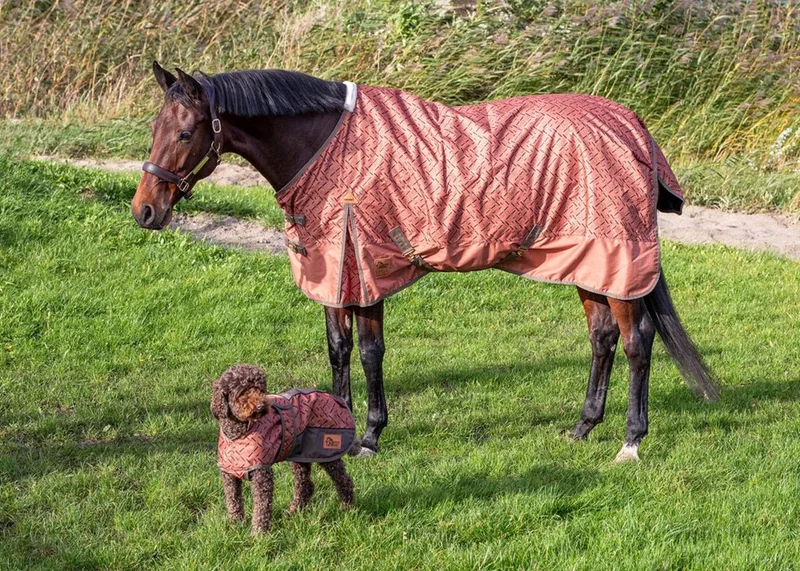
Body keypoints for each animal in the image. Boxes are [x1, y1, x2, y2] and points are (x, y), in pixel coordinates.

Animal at [132, 62, 719, 462]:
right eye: (154, 129)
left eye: (185, 132)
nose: (145, 211)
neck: (324, 146)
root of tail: (633, 127)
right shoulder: (333, 270)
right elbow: (338, 350)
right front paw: (337, 429)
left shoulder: (366, 267)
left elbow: (370, 353)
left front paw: (369, 435)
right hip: (588, 262)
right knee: (602, 337)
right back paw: (582, 428)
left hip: (617, 260)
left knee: (637, 342)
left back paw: (630, 443)